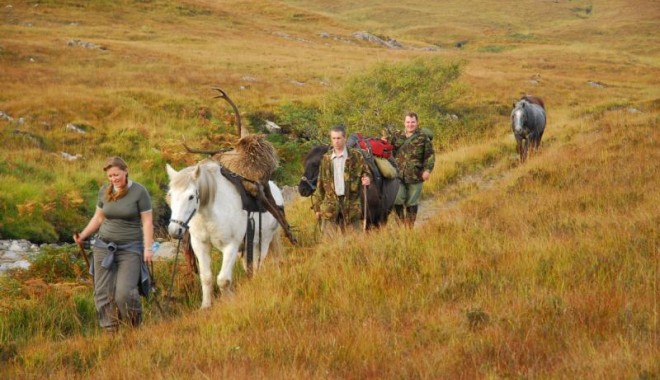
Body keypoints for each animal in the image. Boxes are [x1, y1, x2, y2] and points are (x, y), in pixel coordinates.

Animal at [166, 160, 282, 308]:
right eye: (170, 195)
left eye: (191, 196)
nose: (174, 231)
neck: (211, 214)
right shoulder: (200, 246)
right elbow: (206, 277)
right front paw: (206, 305)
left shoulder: (231, 246)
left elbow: (223, 280)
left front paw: (228, 300)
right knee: (249, 267)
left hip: (263, 242)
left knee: (257, 266)